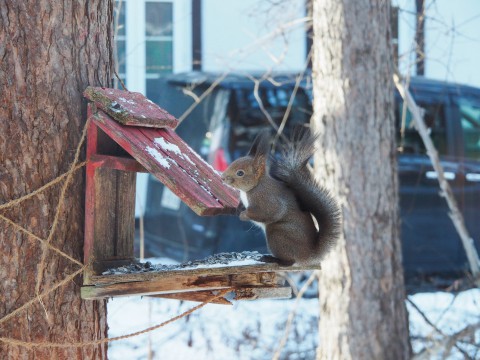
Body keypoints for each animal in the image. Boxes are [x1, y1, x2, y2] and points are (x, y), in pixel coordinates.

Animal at [221, 128, 342, 266]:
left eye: (240, 173)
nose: (222, 177)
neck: (253, 188)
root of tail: (308, 254)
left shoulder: (266, 199)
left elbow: (270, 212)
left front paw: (244, 215)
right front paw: (238, 209)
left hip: (277, 233)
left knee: (289, 261)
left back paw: (273, 259)